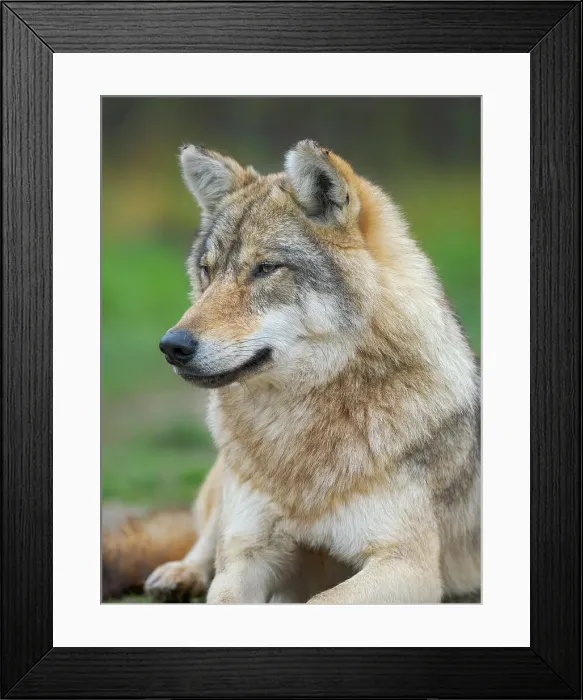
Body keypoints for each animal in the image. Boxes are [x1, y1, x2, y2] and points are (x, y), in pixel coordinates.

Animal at [137, 140, 480, 604]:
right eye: (207, 271)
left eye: (265, 268)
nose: (172, 346)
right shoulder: (249, 549)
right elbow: (224, 591)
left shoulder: (407, 565)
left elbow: (320, 600)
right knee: (206, 540)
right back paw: (178, 575)